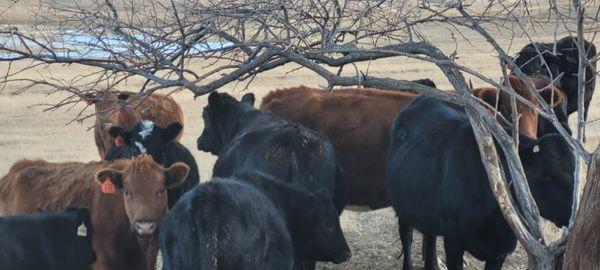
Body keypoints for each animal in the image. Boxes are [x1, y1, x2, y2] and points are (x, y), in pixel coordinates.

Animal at [386, 95, 576, 270]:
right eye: (547, 176)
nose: (572, 214)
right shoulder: (453, 241)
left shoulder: (501, 251)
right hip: (403, 207)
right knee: (407, 236)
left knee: (430, 237)